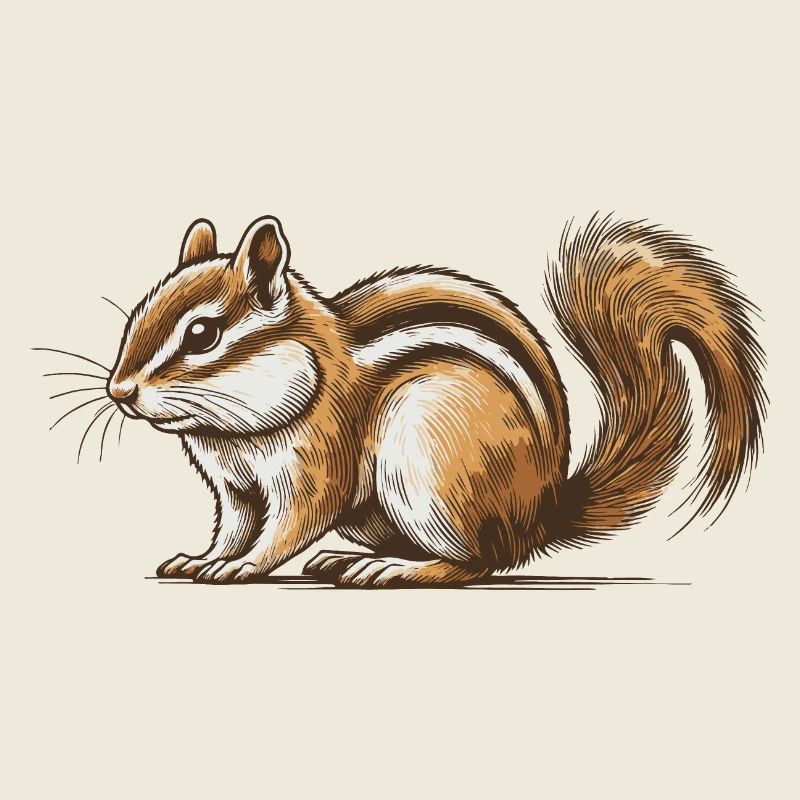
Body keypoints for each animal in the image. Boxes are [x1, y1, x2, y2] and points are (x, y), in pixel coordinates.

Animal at [105, 214, 766, 586]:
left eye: (201, 334)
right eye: (135, 315)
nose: (119, 392)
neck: (232, 431)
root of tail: (540, 512)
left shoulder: (318, 463)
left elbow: (292, 524)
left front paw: (243, 566)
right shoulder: (235, 488)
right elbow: (235, 526)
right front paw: (203, 558)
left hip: (430, 469)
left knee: (476, 562)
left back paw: (398, 570)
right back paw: (345, 561)